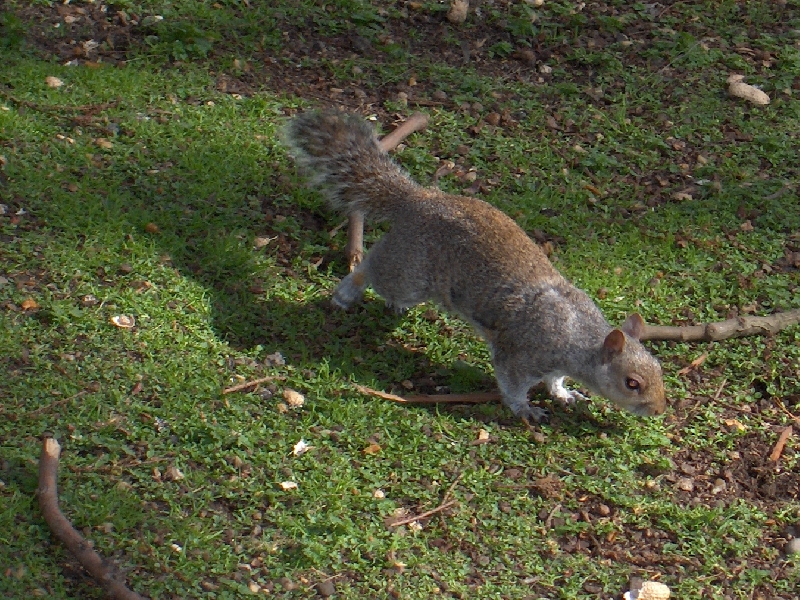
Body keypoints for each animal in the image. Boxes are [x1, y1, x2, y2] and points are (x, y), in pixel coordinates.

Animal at [284, 111, 664, 426]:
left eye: (659, 369)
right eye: (632, 383)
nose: (658, 410)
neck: (579, 336)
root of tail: (418, 199)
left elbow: (555, 379)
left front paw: (563, 393)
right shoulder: (521, 353)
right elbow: (512, 383)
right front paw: (525, 408)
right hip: (408, 272)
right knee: (372, 268)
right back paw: (347, 291)